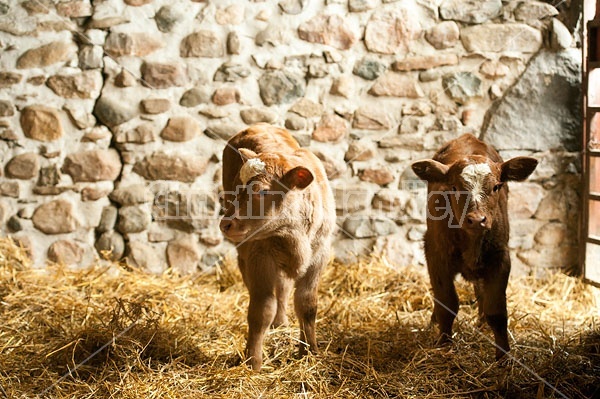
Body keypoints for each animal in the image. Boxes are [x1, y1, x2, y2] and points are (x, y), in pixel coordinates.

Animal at [219, 124, 336, 372]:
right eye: (236, 187)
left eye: (262, 191)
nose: (226, 224)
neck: (292, 233)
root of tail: (257, 125)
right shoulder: (259, 257)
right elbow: (261, 309)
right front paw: (253, 361)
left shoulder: (319, 256)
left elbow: (307, 304)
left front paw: (309, 351)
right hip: (245, 253)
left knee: (283, 287)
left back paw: (281, 322)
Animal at [412, 134, 540, 362]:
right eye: (454, 187)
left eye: (497, 186)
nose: (477, 219)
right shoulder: (436, 255)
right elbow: (446, 304)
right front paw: (444, 345)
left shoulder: (500, 258)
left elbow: (497, 311)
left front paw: (503, 356)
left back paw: (481, 323)